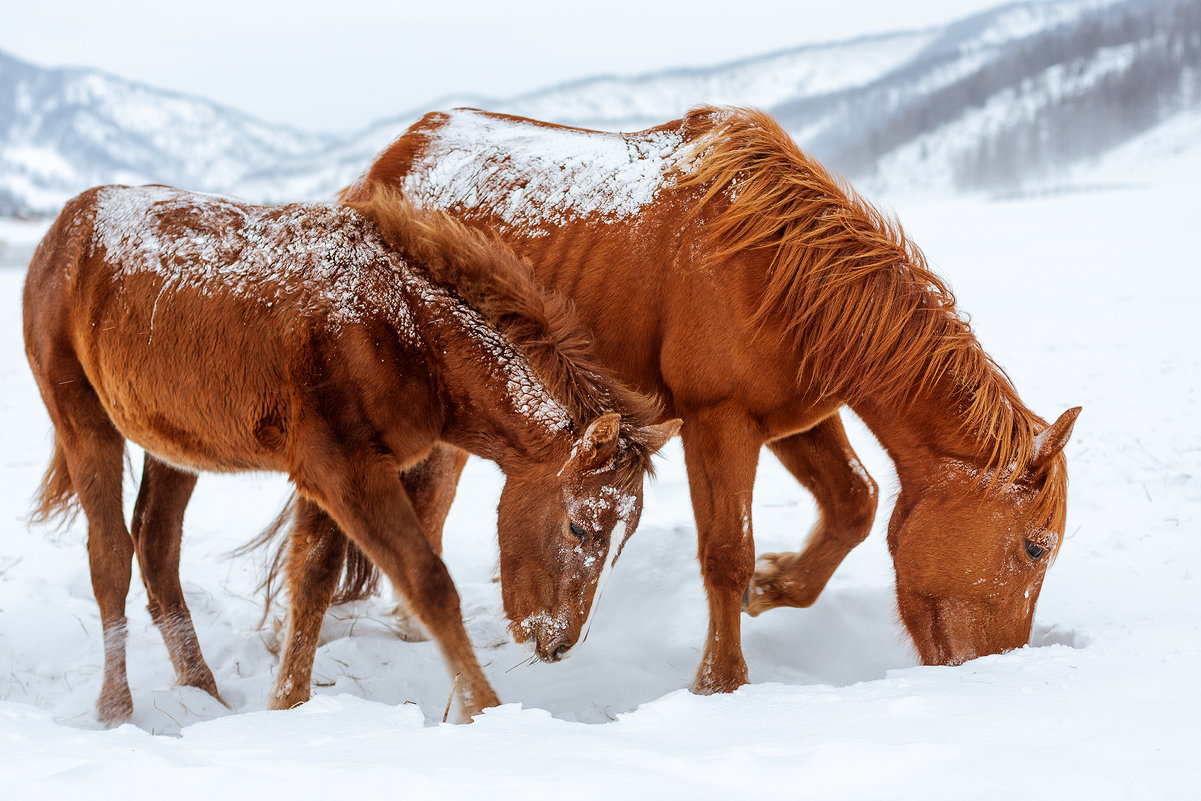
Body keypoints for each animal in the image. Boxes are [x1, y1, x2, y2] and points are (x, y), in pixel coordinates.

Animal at [21, 184, 677, 725]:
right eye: (579, 528)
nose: (558, 644)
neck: (405, 332)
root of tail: (67, 223)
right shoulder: (349, 473)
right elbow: (427, 583)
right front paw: (484, 712)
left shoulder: (326, 478)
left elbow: (311, 578)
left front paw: (287, 705)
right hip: (82, 419)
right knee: (110, 554)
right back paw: (116, 710)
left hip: (176, 448)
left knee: (156, 547)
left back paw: (202, 692)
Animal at [333, 105, 1085, 696]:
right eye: (1035, 548)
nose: (998, 667)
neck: (778, 269)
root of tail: (390, 162)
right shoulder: (716, 419)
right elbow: (725, 551)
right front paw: (720, 682)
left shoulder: (793, 419)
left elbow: (855, 502)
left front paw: (774, 588)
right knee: (426, 502)